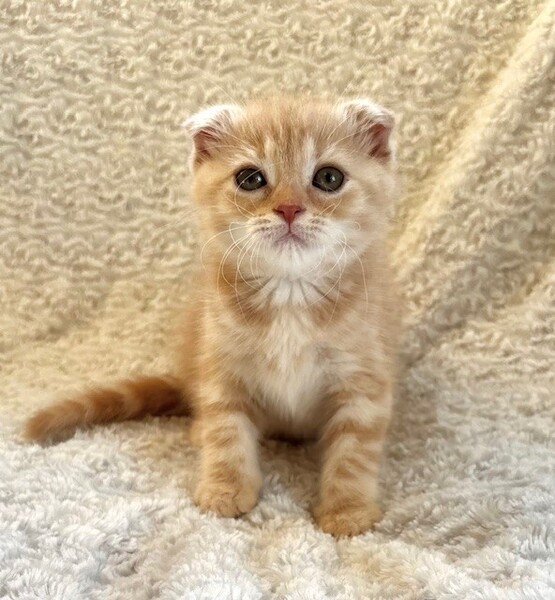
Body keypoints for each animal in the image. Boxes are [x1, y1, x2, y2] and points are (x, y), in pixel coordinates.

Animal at [24, 96, 401, 537]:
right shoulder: (221, 366)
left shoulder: (364, 379)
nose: (289, 208)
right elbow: (227, 432)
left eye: (329, 177)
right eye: (251, 179)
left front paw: (347, 510)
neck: (290, 293)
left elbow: (354, 451)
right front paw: (225, 489)